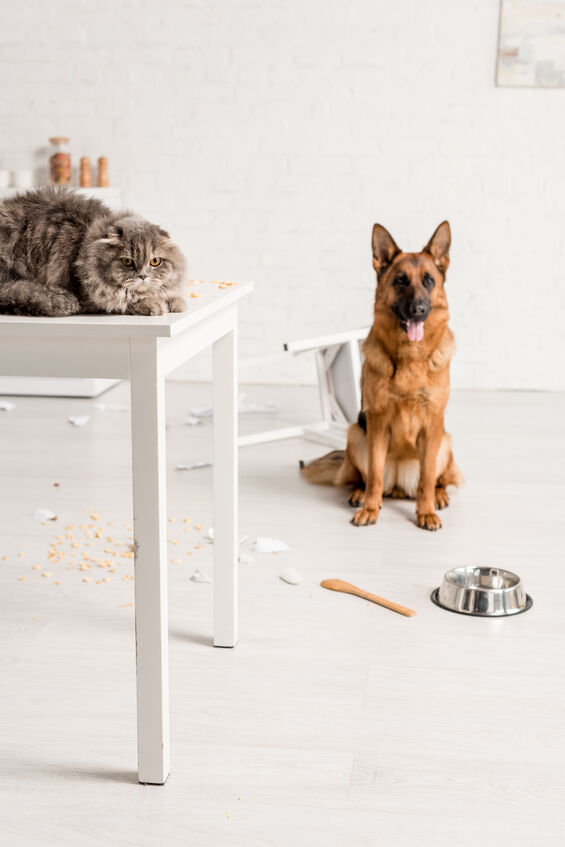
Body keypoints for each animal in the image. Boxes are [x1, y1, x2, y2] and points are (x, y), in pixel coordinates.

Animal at [0, 187, 187, 316]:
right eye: (127, 261)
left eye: (155, 261)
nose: (142, 276)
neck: (83, 247)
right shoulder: (88, 298)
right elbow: (123, 301)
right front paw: (153, 304)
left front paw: (176, 302)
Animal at [302, 222, 460, 532]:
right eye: (400, 281)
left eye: (428, 281)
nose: (418, 310)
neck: (410, 357)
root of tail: (398, 484)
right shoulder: (377, 423)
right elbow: (374, 474)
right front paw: (370, 510)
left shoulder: (432, 424)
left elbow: (426, 479)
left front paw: (426, 512)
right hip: (356, 434)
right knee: (364, 477)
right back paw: (360, 494)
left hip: (445, 441)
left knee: (438, 479)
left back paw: (438, 496)